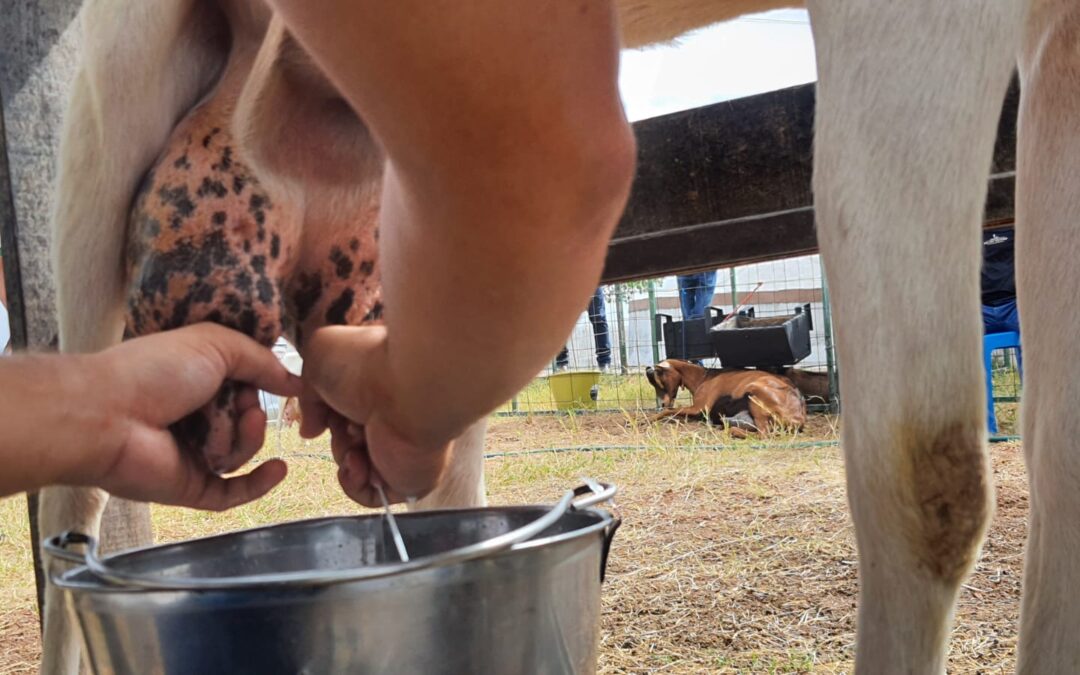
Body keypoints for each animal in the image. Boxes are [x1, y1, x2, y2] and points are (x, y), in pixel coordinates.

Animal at [643, 356, 807, 434]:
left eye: (660, 381)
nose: (662, 403)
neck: (703, 378)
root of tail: (797, 417)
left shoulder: (699, 408)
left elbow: (669, 411)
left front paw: (646, 420)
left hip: (753, 392)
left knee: (764, 434)